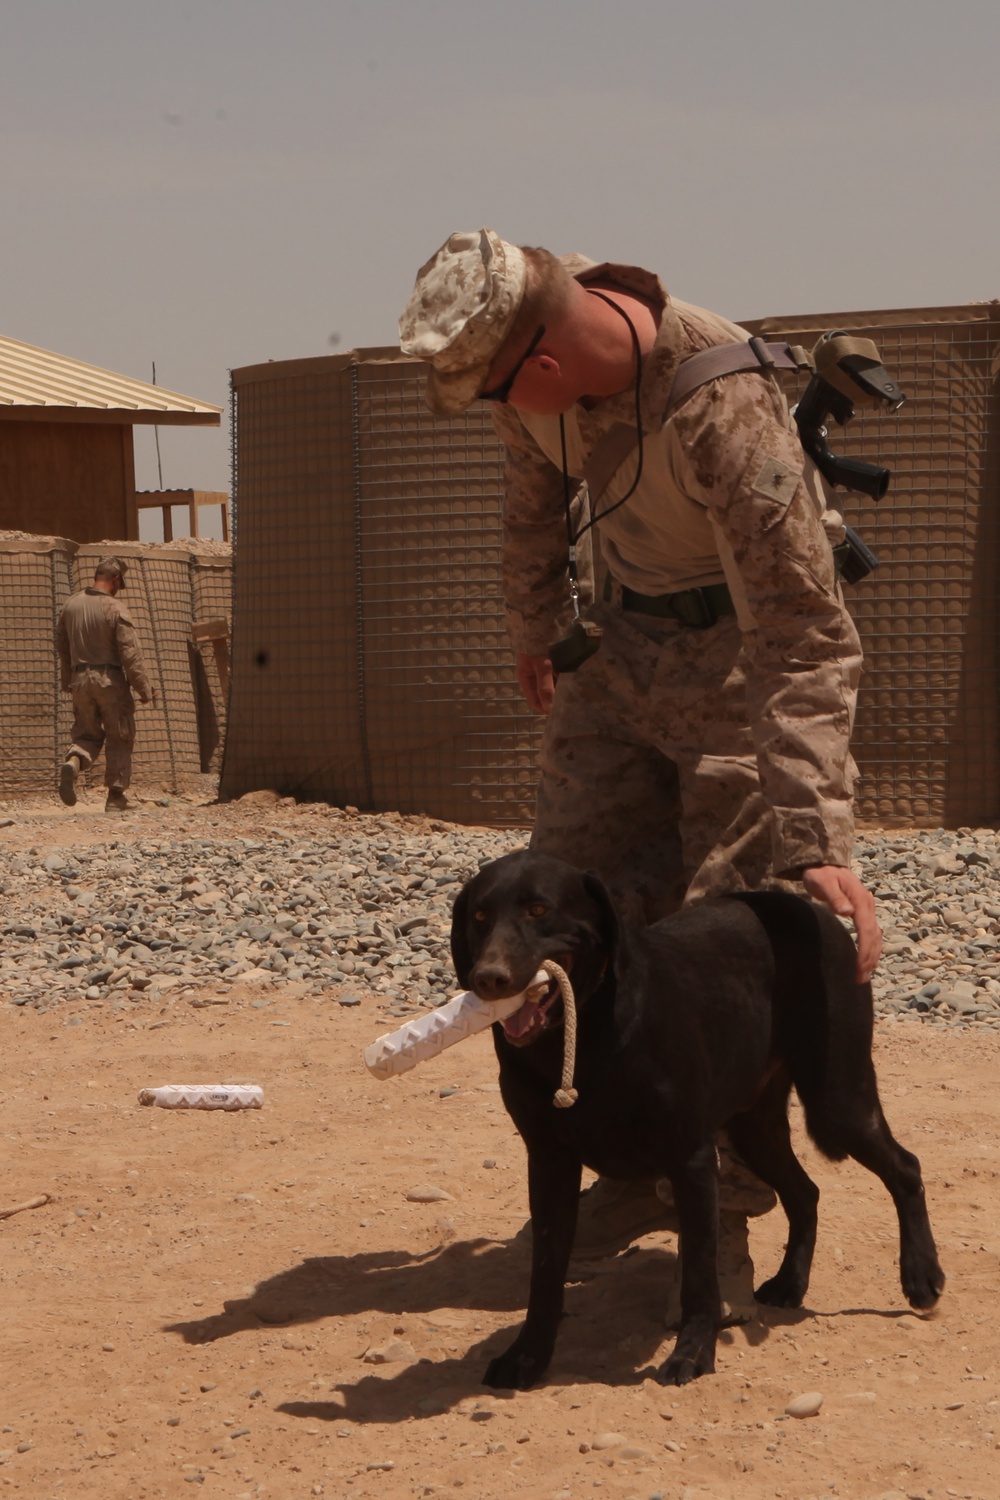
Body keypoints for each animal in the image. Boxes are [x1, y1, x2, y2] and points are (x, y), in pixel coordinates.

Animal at [452, 852, 947, 1386]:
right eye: (479, 917)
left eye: (539, 910)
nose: (490, 978)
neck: (583, 1037)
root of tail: (812, 911)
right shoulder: (548, 1161)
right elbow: (545, 1272)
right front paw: (527, 1357)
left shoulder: (690, 1160)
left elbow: (699, 1276)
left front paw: (692, 1354)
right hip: (754, 1127)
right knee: (806, 1193)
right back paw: (790, 1282)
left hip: (838, 1100)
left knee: (905, 1168)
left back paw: (921, 1276)